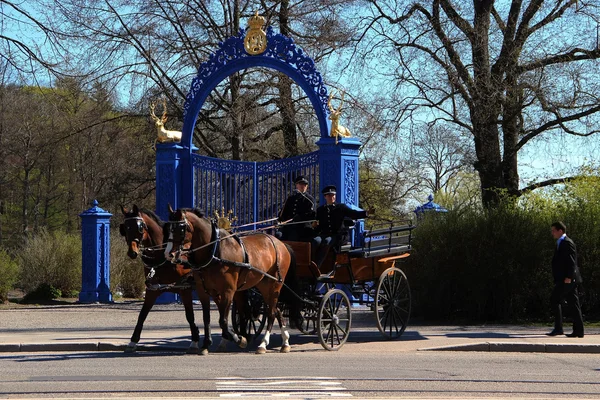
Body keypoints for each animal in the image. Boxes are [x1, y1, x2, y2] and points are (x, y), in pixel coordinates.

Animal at [119, 205, 213, 354]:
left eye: (140, 227)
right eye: (125, 228)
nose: (132, 252)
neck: (163, 257)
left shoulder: (184, 289)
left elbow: (189, 315)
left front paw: (194, 340)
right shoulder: (152, 289)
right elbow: (142, 314)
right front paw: (133, 341)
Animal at [164, 206, 300, 354]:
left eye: (180, 228)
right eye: (168, 228)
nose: (169, 254)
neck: (214, 250)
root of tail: (280, 244)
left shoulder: (228, 291)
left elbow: (223, 320)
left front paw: (240, 339)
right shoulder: (203, 291)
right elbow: (207, 318)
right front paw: (206, 344)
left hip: (275, 285)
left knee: (270, 313)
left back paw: (263, 344)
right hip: (264, 286)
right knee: (276, 310)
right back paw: (285, 342)